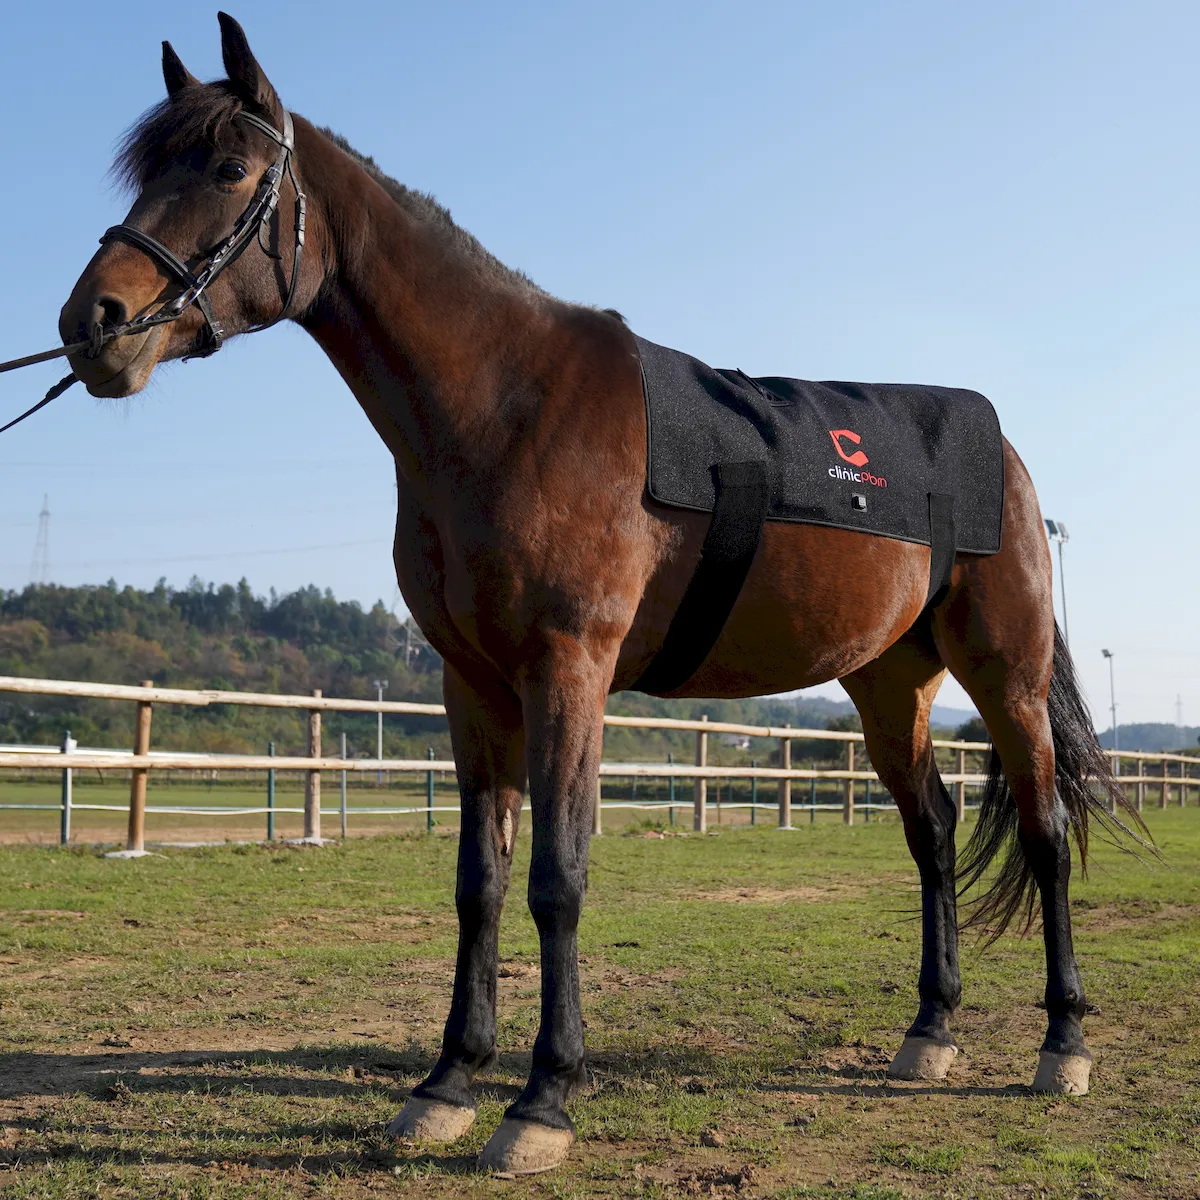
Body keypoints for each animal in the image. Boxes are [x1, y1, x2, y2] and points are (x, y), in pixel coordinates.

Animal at [55, 13, 1138, 1176]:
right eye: (147, 170)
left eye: (228, 170)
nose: (93, 322)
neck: (507, 405)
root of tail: (1006, 453)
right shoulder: (474, 686)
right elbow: (480, 884)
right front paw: (446, 1084)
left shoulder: (569, 667)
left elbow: (556, 879)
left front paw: (542, 1100)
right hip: (889, 687)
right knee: (933, 832)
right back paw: (929, 1032)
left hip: (1006, 677)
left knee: (1044, 833)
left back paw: (1063, 1047)